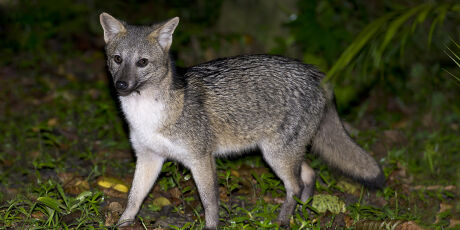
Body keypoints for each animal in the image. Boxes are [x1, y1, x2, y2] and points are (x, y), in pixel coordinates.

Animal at [99, 13, 384, 229]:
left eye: (142, 62)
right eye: (117, 59)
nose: (121, 85)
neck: (148, 113)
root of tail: (316, 73)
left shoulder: (200, 159)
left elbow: (210, 203)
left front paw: (211, 227)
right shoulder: (149, 157)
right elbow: (133, 198)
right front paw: (122, 224)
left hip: (276, 156)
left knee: (295, 184)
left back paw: (284, 220)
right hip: (284, 154)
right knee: (308, 174)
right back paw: (303, 213)